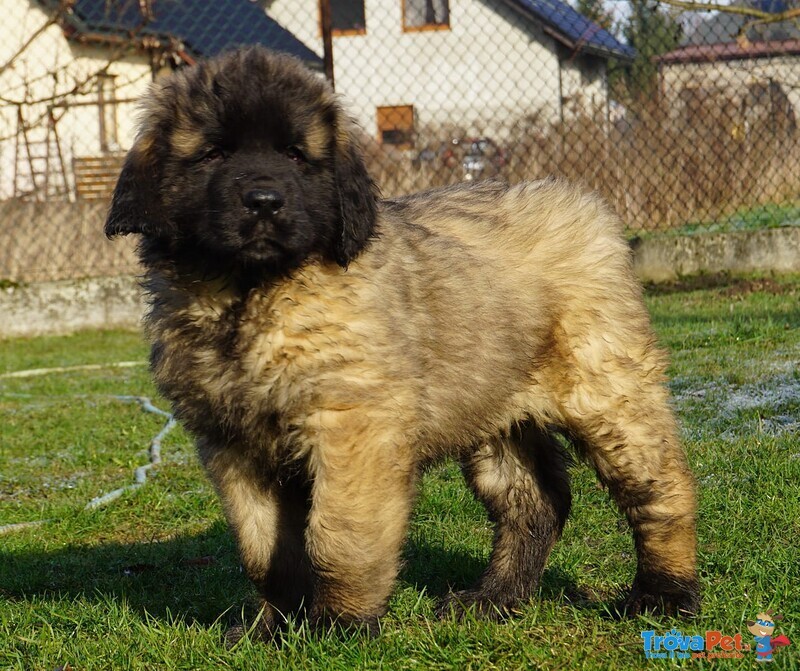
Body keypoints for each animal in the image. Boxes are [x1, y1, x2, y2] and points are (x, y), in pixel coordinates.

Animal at [106, 46, 700, 636]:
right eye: (214, 153)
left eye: (297, 155)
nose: (264, 201)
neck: (252, 295)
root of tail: (582, 201)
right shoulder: (233, 443)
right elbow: (265, 549)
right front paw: (273, 626)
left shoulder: (353, 426)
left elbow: (339, 533)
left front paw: (339, 623)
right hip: (492, 409)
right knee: (534, 501)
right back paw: (493, 598)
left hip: (606, 390)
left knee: (660, 489)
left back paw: (664, 594)